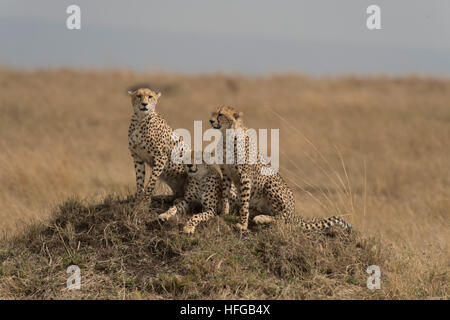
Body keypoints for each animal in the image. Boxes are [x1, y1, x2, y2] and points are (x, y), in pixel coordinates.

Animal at [209, 106, 354, 231]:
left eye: (220, 114)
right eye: (214, 112)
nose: (210, 120)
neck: (226, 136)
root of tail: (293, 211)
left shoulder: (244, 176)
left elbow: (244, 203)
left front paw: (242, 225)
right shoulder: (226, 174)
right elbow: (225, 194)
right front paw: (224, 214)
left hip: (270, 182)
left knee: (284, 219)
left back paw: (261, 219)